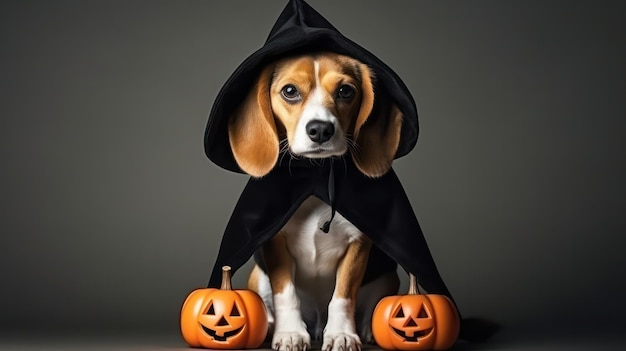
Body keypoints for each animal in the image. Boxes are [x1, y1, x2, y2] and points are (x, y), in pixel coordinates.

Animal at [228, 53, 400, 351]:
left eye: (345, 91)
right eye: (290, 91)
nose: (320, 129)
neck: (316, 174)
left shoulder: (357, 245)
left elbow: (343, 296)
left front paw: (342, 334)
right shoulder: (276, 246)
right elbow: (286, 293)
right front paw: (290, 334)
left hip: (390, 275)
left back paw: (366, 329)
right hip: (257, 277)